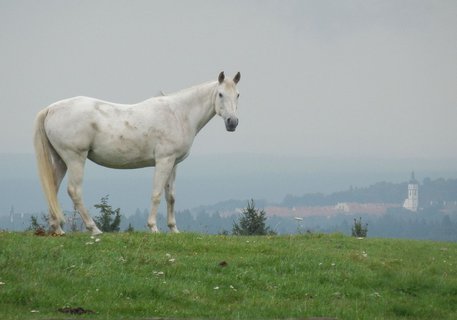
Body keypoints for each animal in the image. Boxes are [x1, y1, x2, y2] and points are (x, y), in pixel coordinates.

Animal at [33, 72, 240, 235]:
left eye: (237, 94)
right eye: (220, 94)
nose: (232, 122)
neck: (178, 113)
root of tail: (51, 109)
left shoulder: (173, 163)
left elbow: (170, 196)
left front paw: (174, 229)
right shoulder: (164, 160)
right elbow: (157, 193)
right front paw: (153, 228)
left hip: (61, 161)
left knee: (52, 189)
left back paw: (58, 229)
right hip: (75, 158)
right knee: (74, 191)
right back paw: (94, 229)